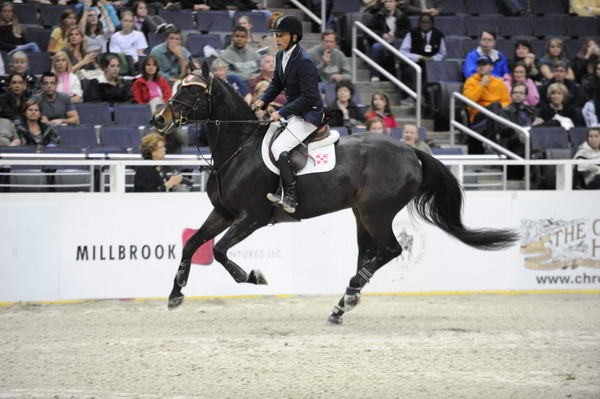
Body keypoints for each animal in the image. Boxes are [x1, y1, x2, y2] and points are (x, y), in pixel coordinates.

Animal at [152, 61, 516, 324]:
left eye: (193, 92)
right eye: (177, 86)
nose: (158, 119)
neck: (239, 149)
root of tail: (411, 151)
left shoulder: (251, 217)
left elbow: (219, 251)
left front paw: (254, 276)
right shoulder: (223, 212)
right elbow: (193, 244)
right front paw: (175, 295)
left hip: (376, 212)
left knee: (390, 249)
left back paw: (350, 295)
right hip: (362, 214)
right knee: (369, 253)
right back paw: (342, 305)